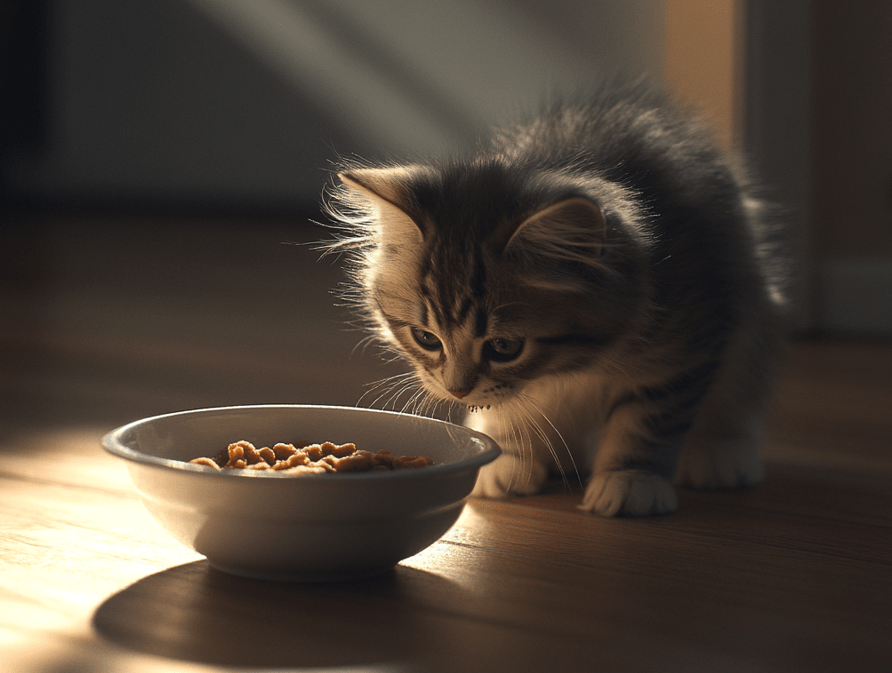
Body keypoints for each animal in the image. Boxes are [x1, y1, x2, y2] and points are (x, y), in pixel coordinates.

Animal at [322, 81, 788, 516]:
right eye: (426, 338)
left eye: (504, 346)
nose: (457, 391)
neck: (575, 368)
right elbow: (509, 408)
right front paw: (510, 460)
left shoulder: (684, 341)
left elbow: (648, 418)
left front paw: (630, 480)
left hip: (754, 313)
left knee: (737, 391)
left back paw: (720, 453)